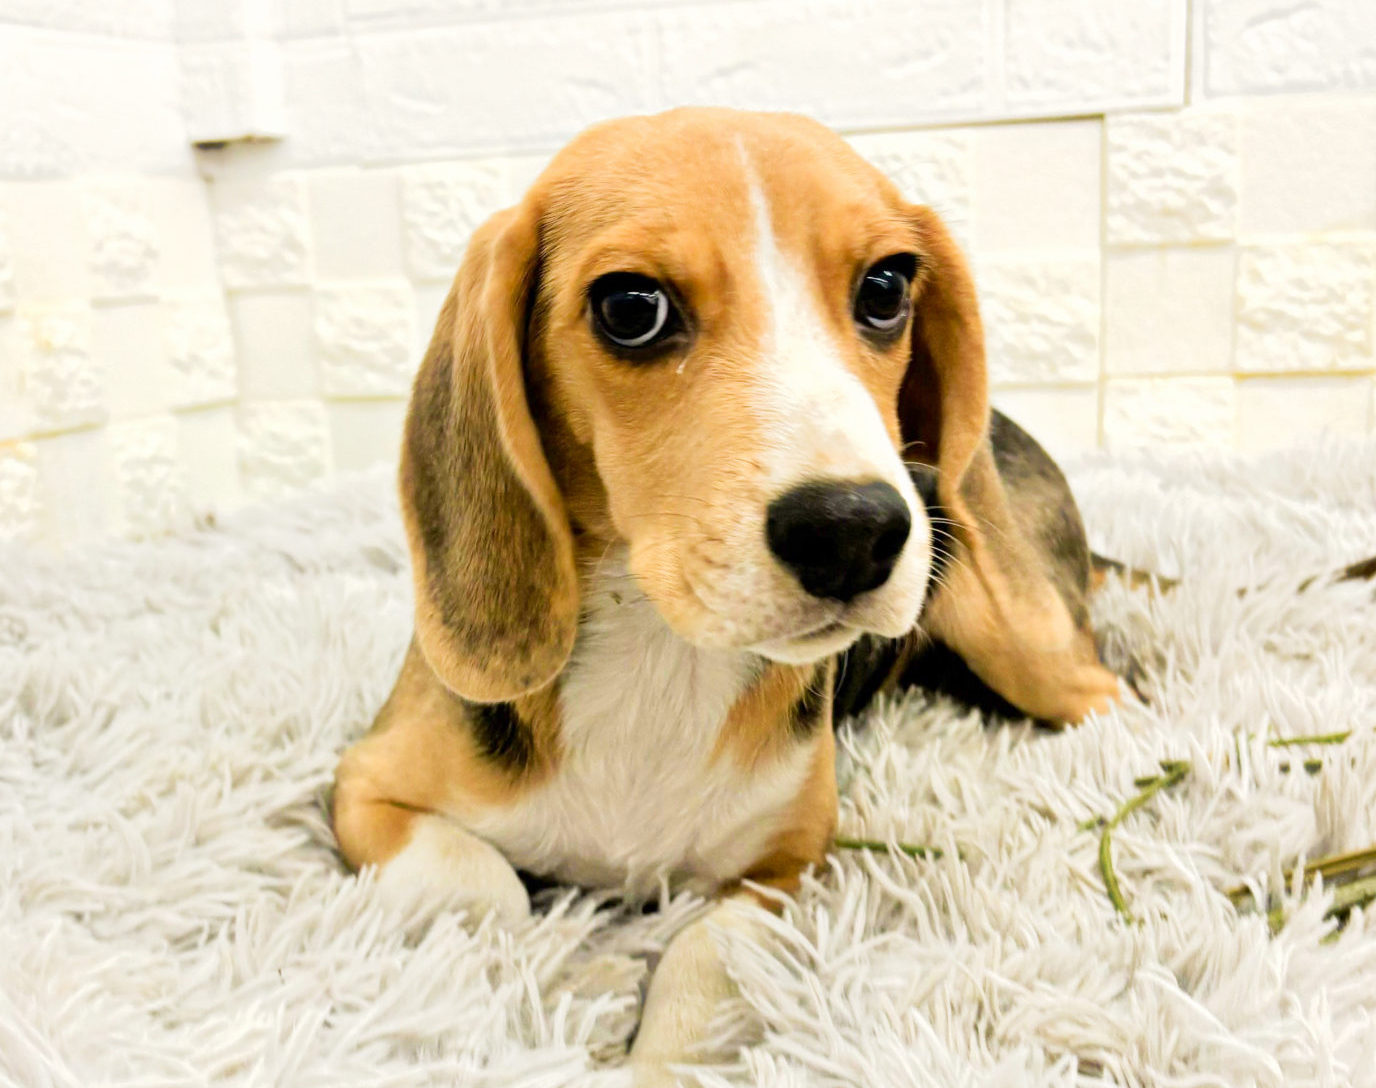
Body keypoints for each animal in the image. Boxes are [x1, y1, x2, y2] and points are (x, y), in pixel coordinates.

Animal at [332, 107, 1126, 1084]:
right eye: (631, 308)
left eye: (886, 287)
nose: (855, 531)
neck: (657, 650)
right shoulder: (364, 787)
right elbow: (481, 889)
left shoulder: (785, 864)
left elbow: (701, 957)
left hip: (1017, 631)